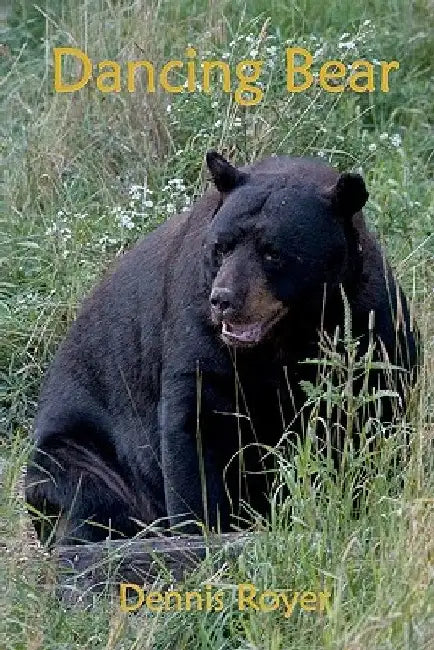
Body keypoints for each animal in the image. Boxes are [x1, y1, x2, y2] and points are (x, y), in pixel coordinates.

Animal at [25, 151, 418, 545]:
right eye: (221, 246)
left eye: (273, 252)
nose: (224, 300)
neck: (287, 333)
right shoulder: (197, 326)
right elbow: (196, 423)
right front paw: (201, 528)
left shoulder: (369, 318)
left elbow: (380, 408)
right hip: (80, 455)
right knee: (87, 494)